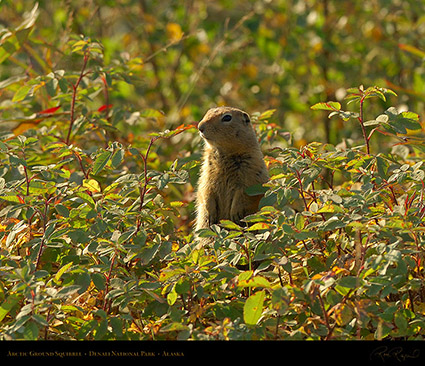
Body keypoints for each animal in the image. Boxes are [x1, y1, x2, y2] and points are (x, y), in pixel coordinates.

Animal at [194, 107, 266, 242]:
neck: (225, 153)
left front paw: (235, 214)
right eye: (208, 112)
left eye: (227, 117)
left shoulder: (250, 171)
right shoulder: (206, 172)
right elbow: (205, 189)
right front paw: (210, 211)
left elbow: (244, 193)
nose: (200, 127)